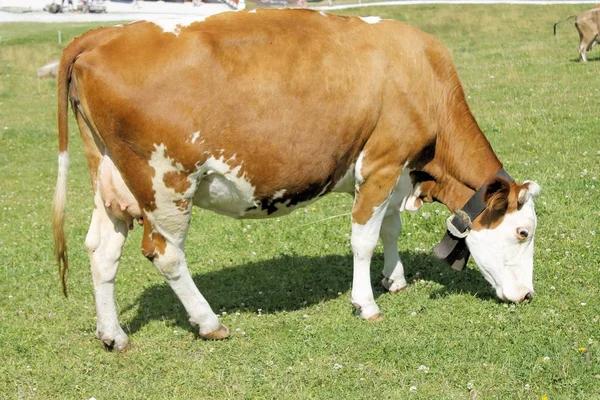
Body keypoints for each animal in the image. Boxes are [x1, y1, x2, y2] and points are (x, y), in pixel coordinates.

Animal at [50, 9, 540, 352]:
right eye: (523, 232)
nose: (527, 296)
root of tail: (103, 35)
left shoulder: (397, 172)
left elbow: (390, 226)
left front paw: (394, 278)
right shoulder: (382, 162)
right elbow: (364, 238)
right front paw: (366, 303)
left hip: (112, 181)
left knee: (101, 251)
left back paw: (112, 334)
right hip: (165, 182)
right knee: (164, 253)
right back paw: (209, 323)